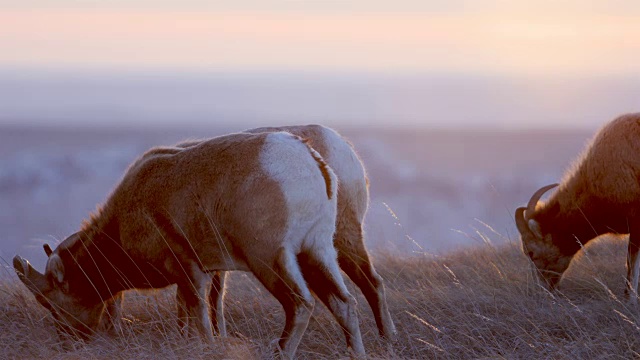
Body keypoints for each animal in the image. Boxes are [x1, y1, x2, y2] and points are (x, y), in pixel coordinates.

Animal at [12, 131, 364, 358]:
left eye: (51, 302)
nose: (68, 343)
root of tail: (312, 162)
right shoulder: (196, 278)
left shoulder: (193, 274)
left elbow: (201, 322)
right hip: (316, 252)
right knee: (344, 302)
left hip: (270, 260)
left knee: (300, 304)